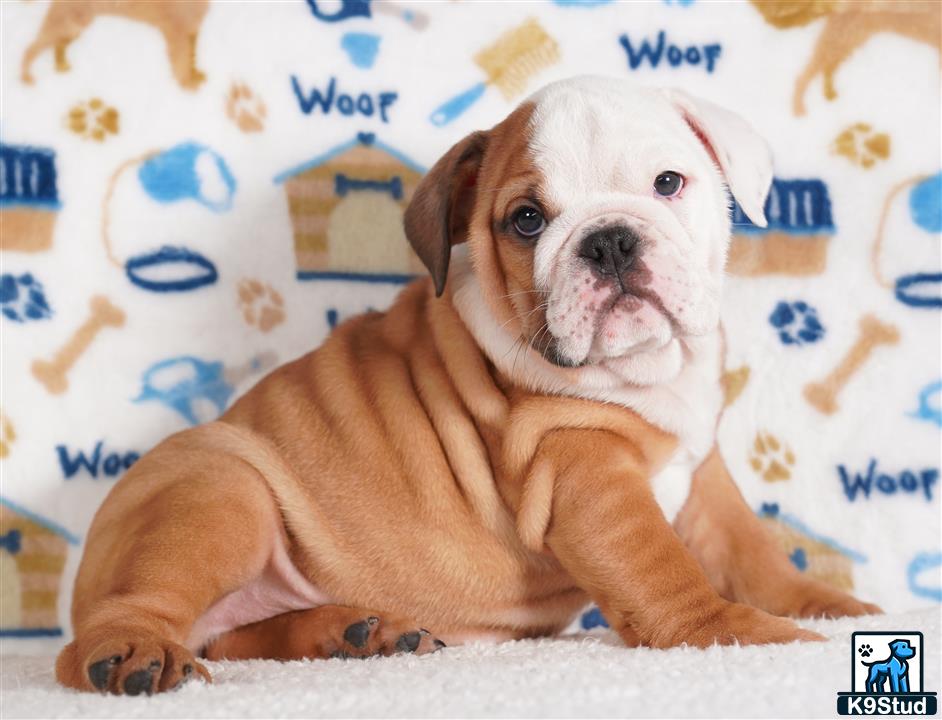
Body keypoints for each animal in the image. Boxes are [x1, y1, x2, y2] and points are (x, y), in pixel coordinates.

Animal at [59, 76, 880, 696]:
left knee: (232, 637)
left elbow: (751, 551)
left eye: (669, 184)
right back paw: (134, 652)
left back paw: (352, 634)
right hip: (218, 494)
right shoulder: (584, 471)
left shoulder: (700, 468)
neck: (650, 370)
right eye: (526, 220)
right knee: (130, 615)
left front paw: (832, 609)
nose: (610, 240)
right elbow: (662, 567)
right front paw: (738, 636)